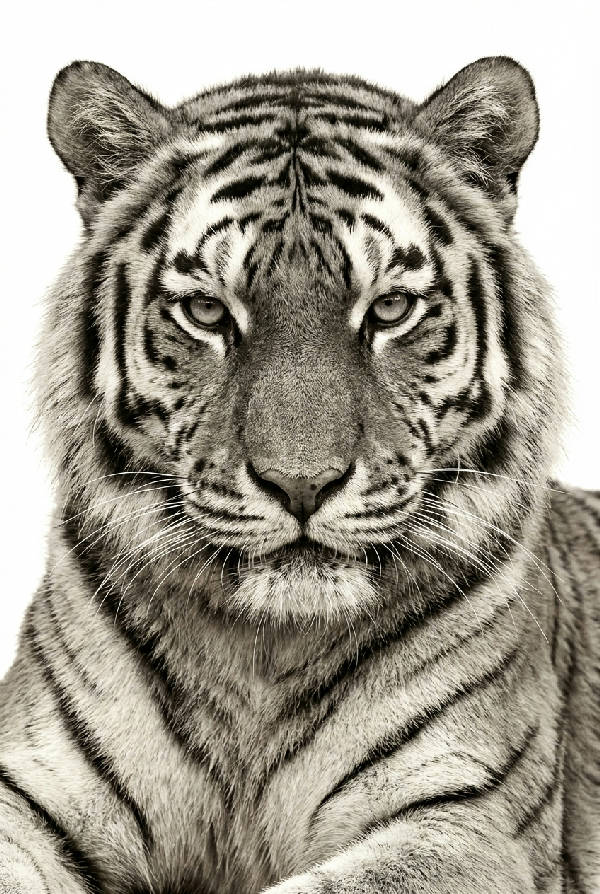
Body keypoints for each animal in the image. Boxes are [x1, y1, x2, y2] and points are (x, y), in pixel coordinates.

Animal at [0, 53, 598, 894]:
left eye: (390, 309)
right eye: (207, 314)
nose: (302, 484)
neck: (262, 655)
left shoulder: (466, 820)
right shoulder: (30, 786)